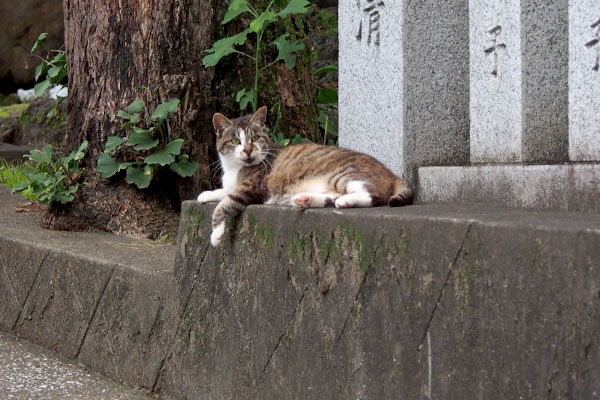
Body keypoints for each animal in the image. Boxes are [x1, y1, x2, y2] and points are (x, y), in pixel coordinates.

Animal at [197, 105, 412, 247]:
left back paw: (345, 202)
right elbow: (222, 192)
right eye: (235, 141)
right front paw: (205, 195)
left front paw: (216, 233)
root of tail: (391, 174)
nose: (248, 150)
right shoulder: (232, 184)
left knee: (373, 195)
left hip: (342, 175)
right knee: (332, 198)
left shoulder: (251, 187)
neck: (235, 168)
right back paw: (306, 199)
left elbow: (225, 203)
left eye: (255, 138)